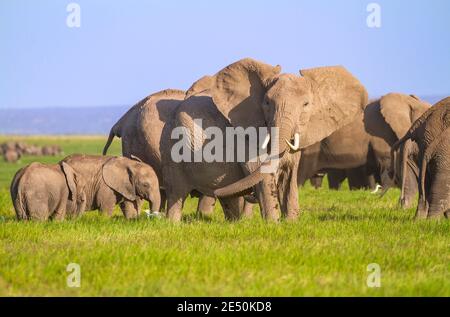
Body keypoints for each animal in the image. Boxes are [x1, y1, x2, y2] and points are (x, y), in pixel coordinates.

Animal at [192, 58, 368, 220]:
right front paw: (273, 223)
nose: (217, 191)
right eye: (267, 102)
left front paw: (291, 222)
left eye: (306, 104)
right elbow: (260, 170)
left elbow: (290, 173)